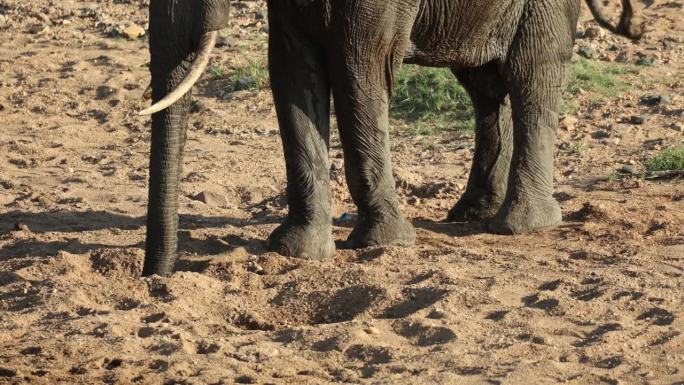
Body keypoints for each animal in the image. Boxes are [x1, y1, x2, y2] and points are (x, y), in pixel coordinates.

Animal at [139, 0, 640, 274]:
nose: (154, 279)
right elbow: (292, 71)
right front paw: (296, 251)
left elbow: (360, 69)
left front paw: (382, 243)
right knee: (484, 88)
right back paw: (472, 213)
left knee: (532, 77)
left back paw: (522, 224)